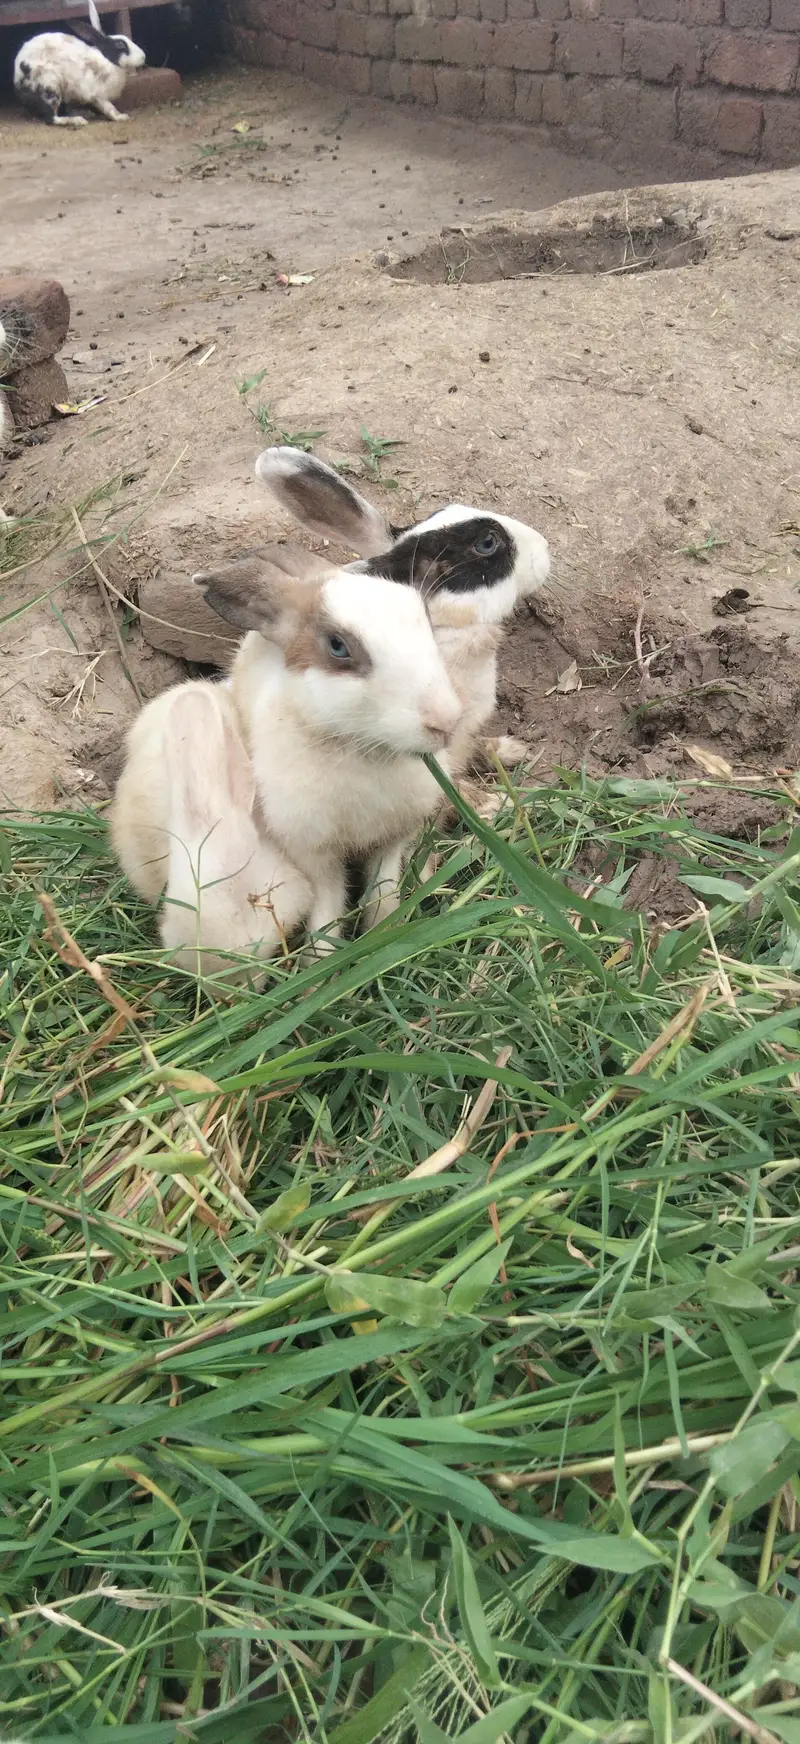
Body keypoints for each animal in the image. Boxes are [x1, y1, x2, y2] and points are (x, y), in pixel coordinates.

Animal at [14, 0, 145, 127]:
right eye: (120, 45)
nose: (143, 57)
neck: (107, 60)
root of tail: (17, 82)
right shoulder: (98, 95)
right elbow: (109, 108)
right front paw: (121, 117)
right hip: (50, 85)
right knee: (51, 119)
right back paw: (78, 120)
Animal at [191, 542, 463, 942]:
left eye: (428, 623)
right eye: (338, 647)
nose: (445, 722)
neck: (362, 751)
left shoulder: (392, 840)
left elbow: (382, 889)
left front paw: (384, 931)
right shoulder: (314, 853)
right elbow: (328, 903)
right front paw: (323, 954)